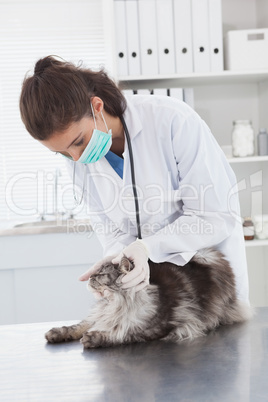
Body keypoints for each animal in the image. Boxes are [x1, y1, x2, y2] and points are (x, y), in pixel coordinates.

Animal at [45, 247, 252, 348]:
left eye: (101, 274)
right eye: (95, 272)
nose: (89, 278)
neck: (114, 303)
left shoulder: (156, 329)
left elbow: (122, 334)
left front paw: (94, 338)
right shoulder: (96, 316)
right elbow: (77, 326)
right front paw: (56, 333)